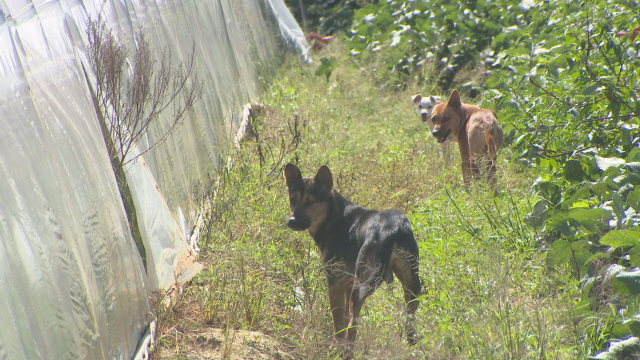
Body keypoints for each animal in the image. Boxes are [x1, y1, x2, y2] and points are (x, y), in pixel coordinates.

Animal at [284, 163, 422, 346]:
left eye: (310, 202)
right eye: (292, 199)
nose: (291, 221)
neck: (334, 216)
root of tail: (391, 228)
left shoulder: (335, 282)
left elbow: (339, 322)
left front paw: (336, 345)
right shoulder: (348, 282)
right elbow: (344, 318)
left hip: (362, 284)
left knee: (352, 326)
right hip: (411, 285)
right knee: (409, 322)